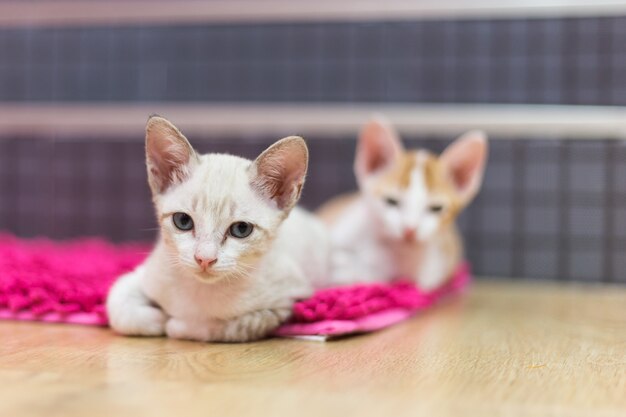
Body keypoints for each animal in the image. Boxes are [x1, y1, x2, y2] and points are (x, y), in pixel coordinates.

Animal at [106, 114, 332, 342]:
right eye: (183, 221)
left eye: (241, 229)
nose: (204, 259)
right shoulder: (146, 273)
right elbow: (118, 303)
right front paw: (155, 318)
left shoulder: (285, 304)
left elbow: (223, 327)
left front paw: (174, 323)